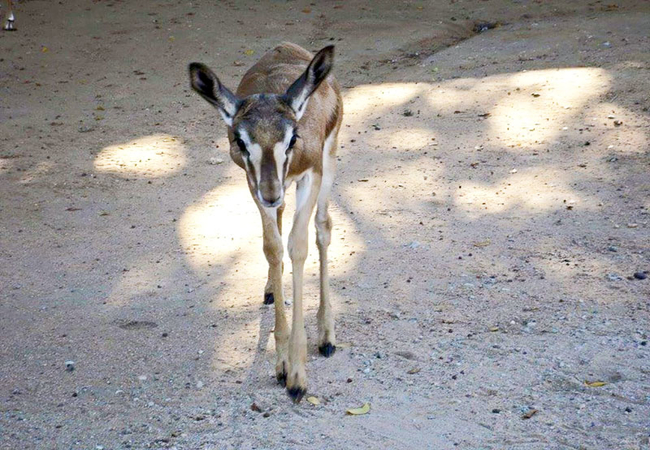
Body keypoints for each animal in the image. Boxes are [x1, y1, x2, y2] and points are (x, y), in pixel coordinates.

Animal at [188, 42, 343, 403]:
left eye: (292, 138)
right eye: (240, 140)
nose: (271, 192)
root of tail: (287, 47)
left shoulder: (311, 175)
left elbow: (298, 246)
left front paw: (297, 376)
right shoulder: (253, 183)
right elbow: (272, 248)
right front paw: (283, 362)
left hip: (329, 161)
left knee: (323, 228)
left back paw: (326, 335)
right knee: (282, 223)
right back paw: (272, 289)